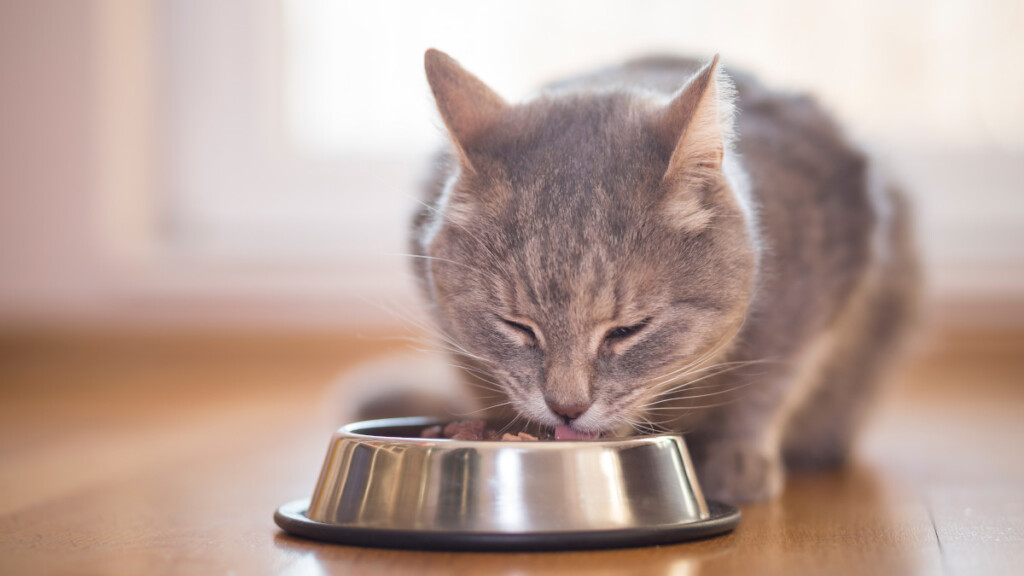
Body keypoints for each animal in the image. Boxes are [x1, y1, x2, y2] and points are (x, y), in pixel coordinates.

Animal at [395, 47, 917, 500]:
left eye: (628, 330)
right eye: (517, 327)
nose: (566, 407)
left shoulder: (825, 279)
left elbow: (772, 383)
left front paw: (738, 454)